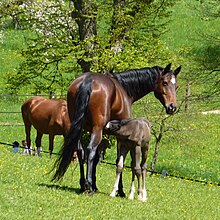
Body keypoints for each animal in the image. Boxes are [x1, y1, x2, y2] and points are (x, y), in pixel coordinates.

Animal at [52, 62, 181, 195]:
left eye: (176, 86)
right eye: (165, 82)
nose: (172, 107)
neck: (124, 88)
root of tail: (88, 80)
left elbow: (98, 156)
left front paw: (96, 185)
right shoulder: (120, 137)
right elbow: (119, 161)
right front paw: (120, 190)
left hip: (80, 128)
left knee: (80, 151)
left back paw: (83, 185)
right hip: (97, 129)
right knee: (90, 150)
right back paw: (89, 186)